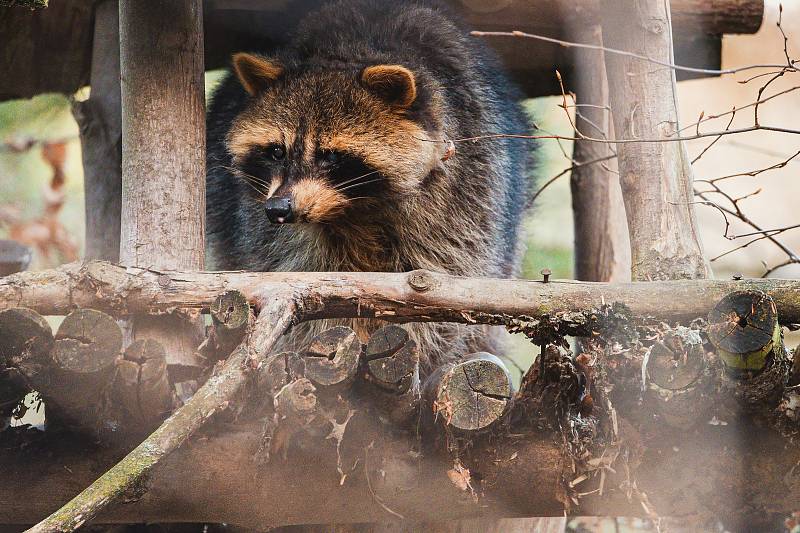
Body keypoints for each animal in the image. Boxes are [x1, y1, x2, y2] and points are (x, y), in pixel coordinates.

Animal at [206, 0, 532, 370]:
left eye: (330, 156)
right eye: (277, 151)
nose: (278, 209)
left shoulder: (468, 191)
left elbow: (444, 282)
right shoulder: (265, 230)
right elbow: (301, 277)